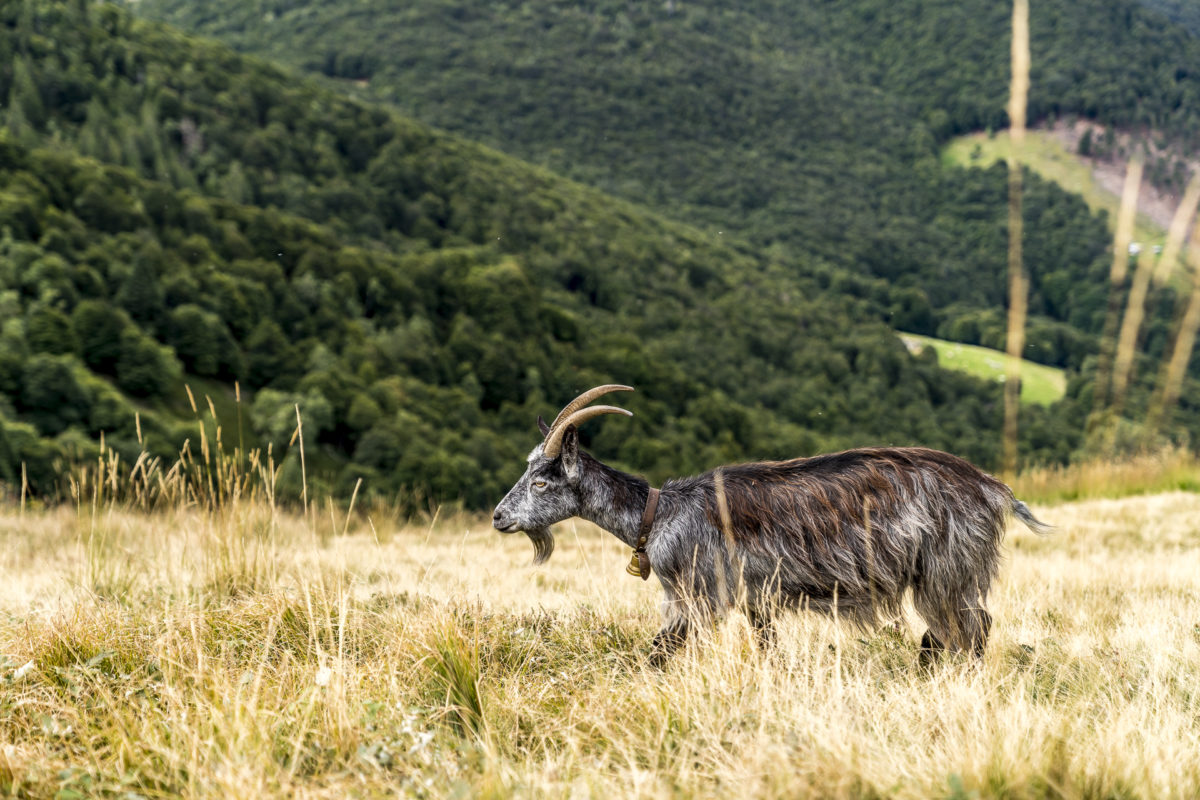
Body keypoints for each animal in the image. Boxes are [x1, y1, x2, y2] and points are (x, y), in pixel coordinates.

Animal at [489, 383, 1051, 662]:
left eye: (542, 481)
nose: (498, 517)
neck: (662, 514)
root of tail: (991, 488)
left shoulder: (701, 594)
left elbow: (659, 652)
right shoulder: (755, 598)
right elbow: (766, 648)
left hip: (947, 570)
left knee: (971, 628)